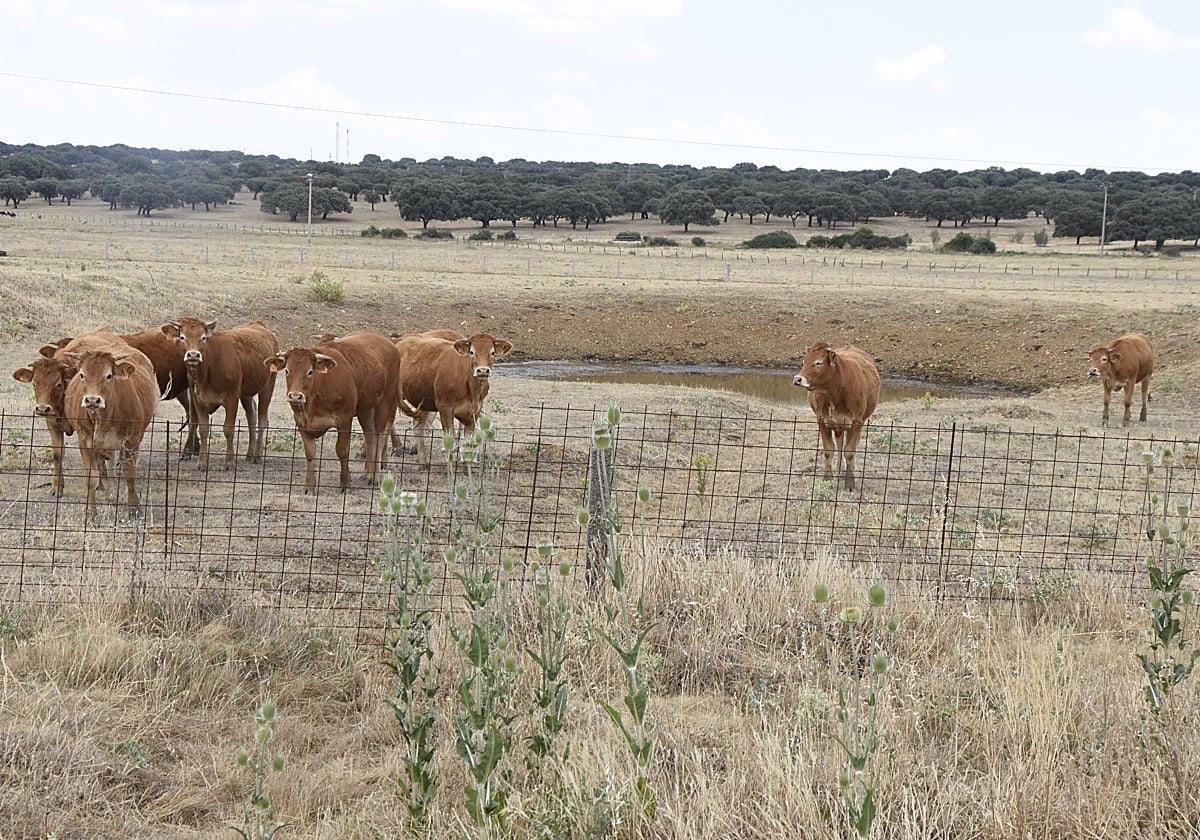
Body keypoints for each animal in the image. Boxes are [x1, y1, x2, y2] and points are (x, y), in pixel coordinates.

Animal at [63, 337, 159, 520]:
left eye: (108, 375)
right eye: (82, 375)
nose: (92, 400)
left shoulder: (131, 439)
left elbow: (129, 473)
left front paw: (133, 509)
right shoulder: (84, 441)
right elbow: (91, 477)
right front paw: (91, 513)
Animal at [160, 318, 278, 470]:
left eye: (203, 337)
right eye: (182, 337)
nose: (193, 355)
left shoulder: (232, 398)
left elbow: (228, 430)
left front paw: (229, 462)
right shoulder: (197, 399)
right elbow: (203, 429)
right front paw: (202, 462)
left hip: (269, 385)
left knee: (262, 420)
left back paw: (257, 456)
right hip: (247, 392)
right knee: (252, 416)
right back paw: (250, 453)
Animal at [265, 330, 401, 493]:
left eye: (310, 371)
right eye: (287, 370)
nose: (295, 396)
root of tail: (390, 344)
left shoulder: (344, 419)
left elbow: (342, 450)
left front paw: (345, 483)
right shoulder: (301, 422)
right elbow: (310, 453)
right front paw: (309, 485)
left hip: (385, 400)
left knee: (380, 436)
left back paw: (374, 476)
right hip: (365, 408)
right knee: (370, 436)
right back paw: (367, 473)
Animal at [394, 331, 512, 463]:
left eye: (492, 352)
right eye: (472, 352)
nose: (482, 371)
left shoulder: (475, 412)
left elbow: (468, 444)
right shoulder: (445, 408)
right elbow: (449, 439)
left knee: (419, 427)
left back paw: (422, 460)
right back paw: (397, 448)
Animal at [793, 342, 881, 491]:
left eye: (818, 362)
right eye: (804, 361)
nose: (797, 379)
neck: (836, 393)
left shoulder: (856, 421)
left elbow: (850, 451)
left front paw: (850, 483)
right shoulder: (822, 420)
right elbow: (829, 450)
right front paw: (827, 478)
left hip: (859, 421)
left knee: (852, 445)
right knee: (839, 444)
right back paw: (839, 468)